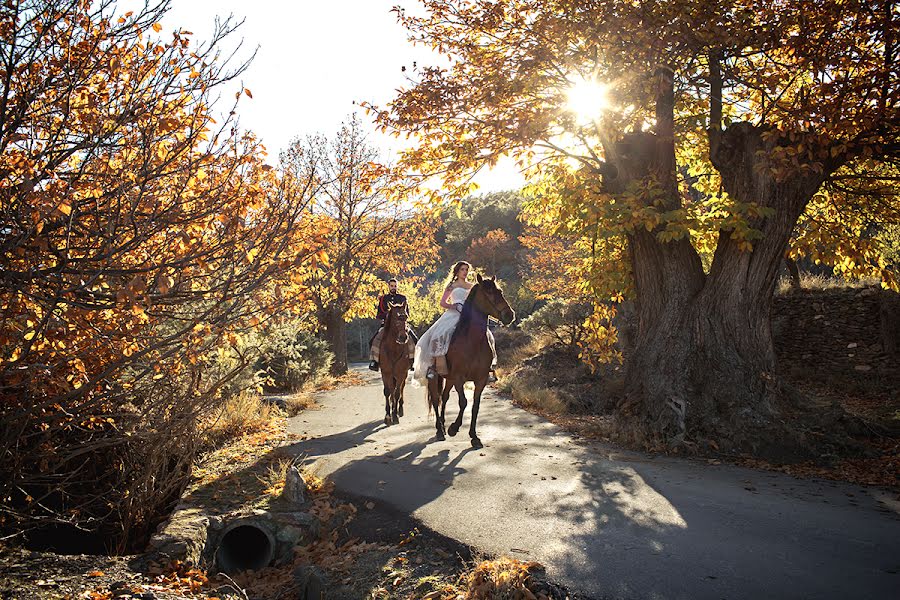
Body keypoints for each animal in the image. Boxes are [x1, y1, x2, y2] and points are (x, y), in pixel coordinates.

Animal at [428, 274, 512, 448]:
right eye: (488, 293)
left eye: (500, 291)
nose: (509, 315)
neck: (473, 341)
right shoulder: (460, 378)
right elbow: (463, 402)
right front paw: (454, 428)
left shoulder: (480, 380)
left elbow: (475, 406)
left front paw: (474, 436)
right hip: (436, 377)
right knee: (436, 398)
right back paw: (440, 430)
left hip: (449, 378)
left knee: (444, 397)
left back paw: (443, 425)